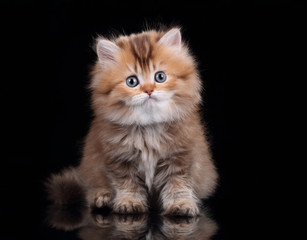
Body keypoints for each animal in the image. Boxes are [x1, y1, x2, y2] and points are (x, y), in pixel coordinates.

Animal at [47, 27, 218, 217]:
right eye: (132, 81)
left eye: (160, 77)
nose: (149, 90)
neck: (148, 127)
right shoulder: (118, 157)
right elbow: (127, 183)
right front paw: (129, 203)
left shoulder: (181, 155)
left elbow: (178, 183)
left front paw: (181, 204)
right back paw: (102, 197)